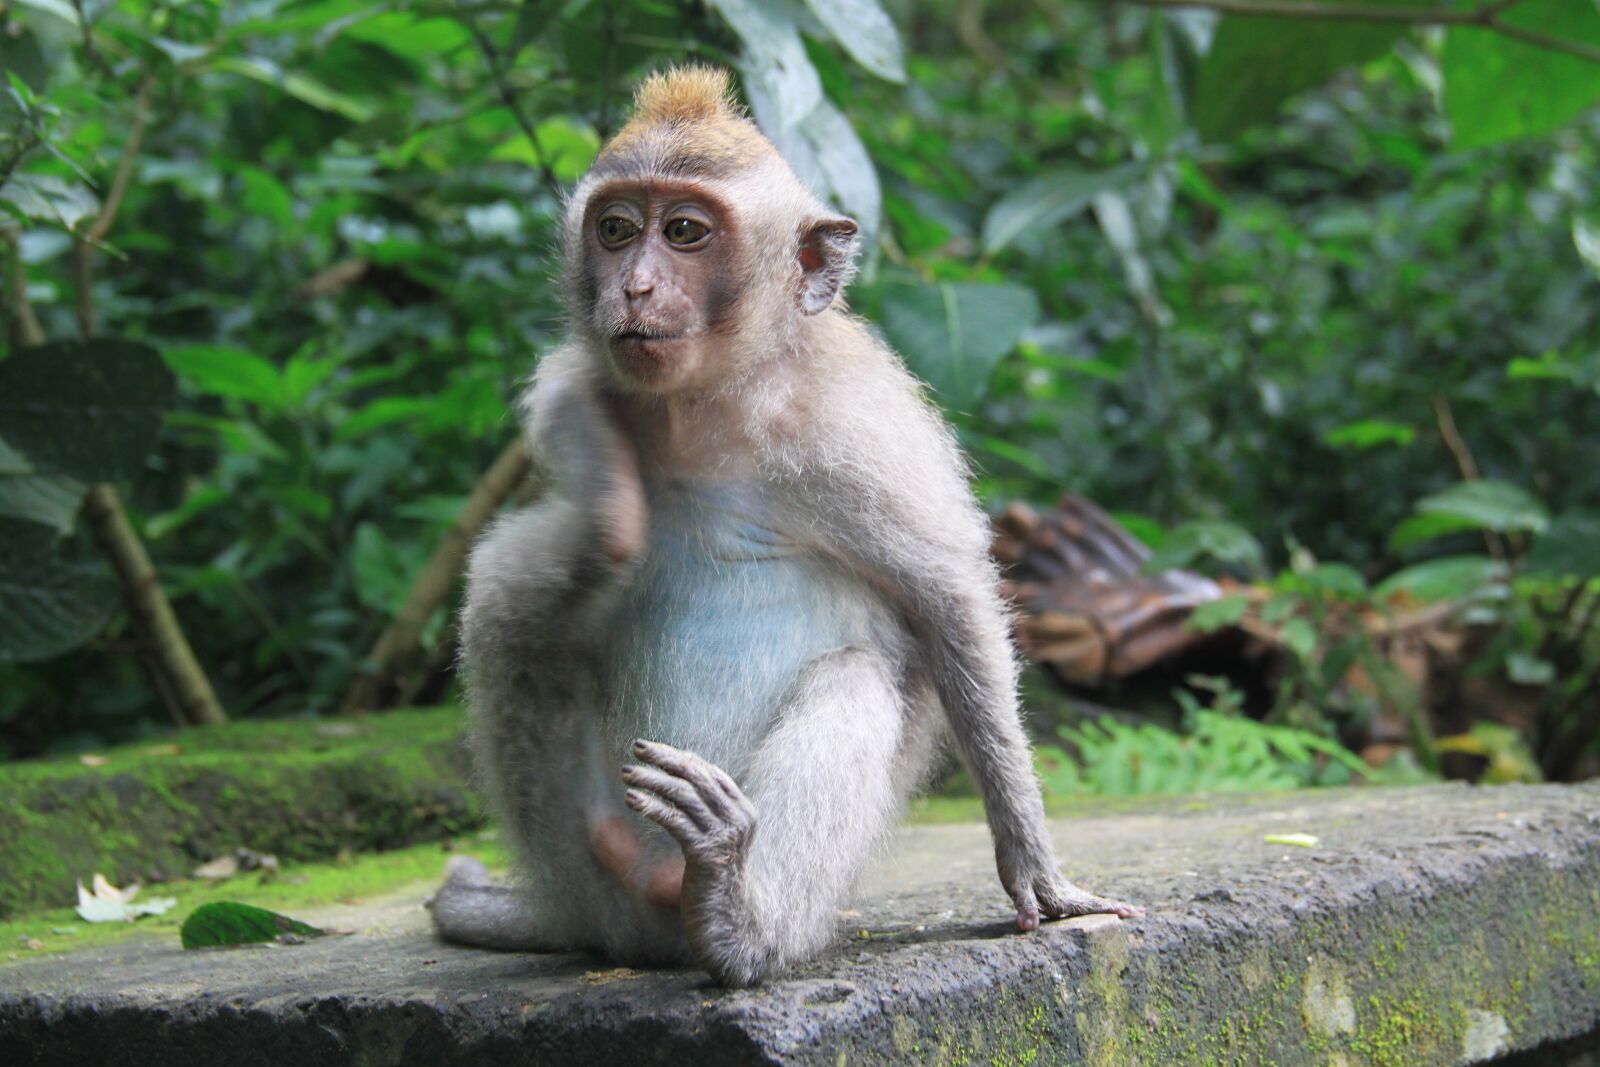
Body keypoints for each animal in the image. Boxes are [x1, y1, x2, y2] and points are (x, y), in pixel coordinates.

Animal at [428, 66, 1140, 987]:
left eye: (684, 232)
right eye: (616, 231)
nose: (635, 287)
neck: (710, 406)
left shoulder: (858, 426)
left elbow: (949, 603)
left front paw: (1038, 875)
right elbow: (566, 483)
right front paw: (606, 497)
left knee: (858, 675)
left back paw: (733, 911)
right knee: (506, 602)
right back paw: (598, 895)